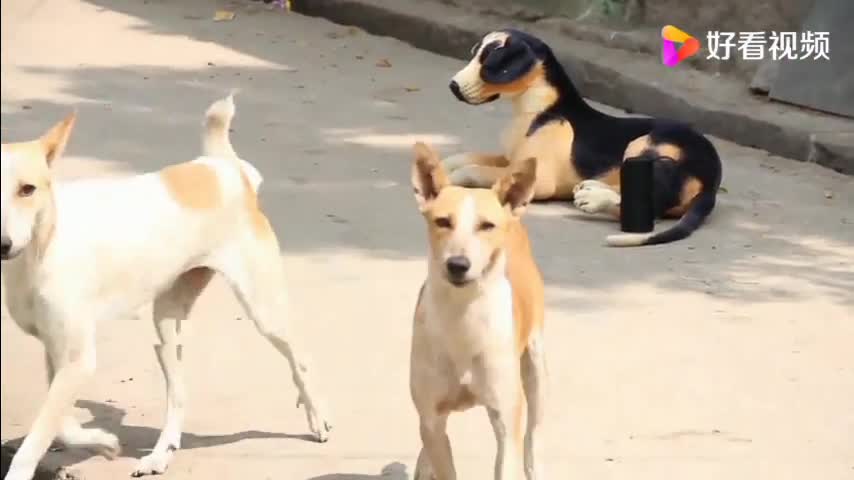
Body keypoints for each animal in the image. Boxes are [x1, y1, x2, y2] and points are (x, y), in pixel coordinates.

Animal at [0, 95, 332, 478]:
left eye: (27, 189)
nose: (2, 245)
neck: (44, 245)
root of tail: (223, 166)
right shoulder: (57, 353)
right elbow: (63, 425)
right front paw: (102, 442)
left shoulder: (77, 359)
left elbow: (40, 436)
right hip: (167, 324)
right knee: (178, 393)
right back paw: (161, 454)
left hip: (264, 311)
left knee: (300, 359)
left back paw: (317, 417)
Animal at [408, 142, 548, 480]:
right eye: (442, 221)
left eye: (487, 226)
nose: (458, 265)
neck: (463, 318)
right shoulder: (432, 416)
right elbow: (437, 449)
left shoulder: (505, 419)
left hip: (536, 368)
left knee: (533, 436)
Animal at [448, 30, 724, 248]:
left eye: (488, 60)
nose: (452, 85)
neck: (537, 109)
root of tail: (713, 179)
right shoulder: (509, 158)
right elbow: (466, 157)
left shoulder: (540, 179)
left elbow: (473, 169)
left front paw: (453, 178)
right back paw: (592, 190)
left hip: (645, 145)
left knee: (649, 207)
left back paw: (595, 199)